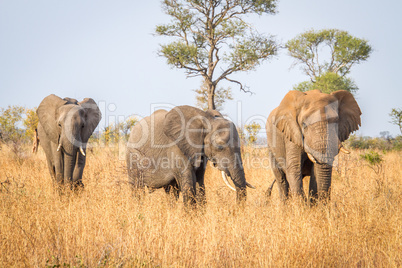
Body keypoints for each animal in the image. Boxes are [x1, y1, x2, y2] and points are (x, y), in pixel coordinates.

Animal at [126, 105, 254, 206]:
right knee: (137, 188)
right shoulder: (177, 147)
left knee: (171, 192)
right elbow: (188, 184)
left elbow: (199, 182)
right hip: (132, 157)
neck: (206, 119)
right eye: (220, 147)